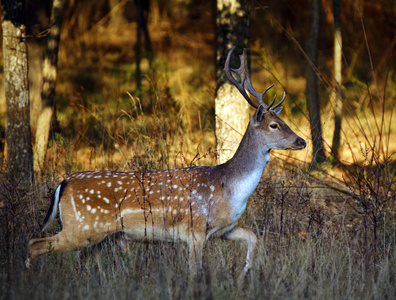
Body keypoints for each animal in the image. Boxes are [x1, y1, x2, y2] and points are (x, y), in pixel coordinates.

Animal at [26, 47, 306, 278]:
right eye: (274, 125)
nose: (302, 141)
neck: (230, 189)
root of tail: (63, 183)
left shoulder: (224, 228)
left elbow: (253, 237)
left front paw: (245, 273)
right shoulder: (194, 230)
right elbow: (195, 271)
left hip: (97, 234)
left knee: (80, 259)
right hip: (81, 227)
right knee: (34, 244)